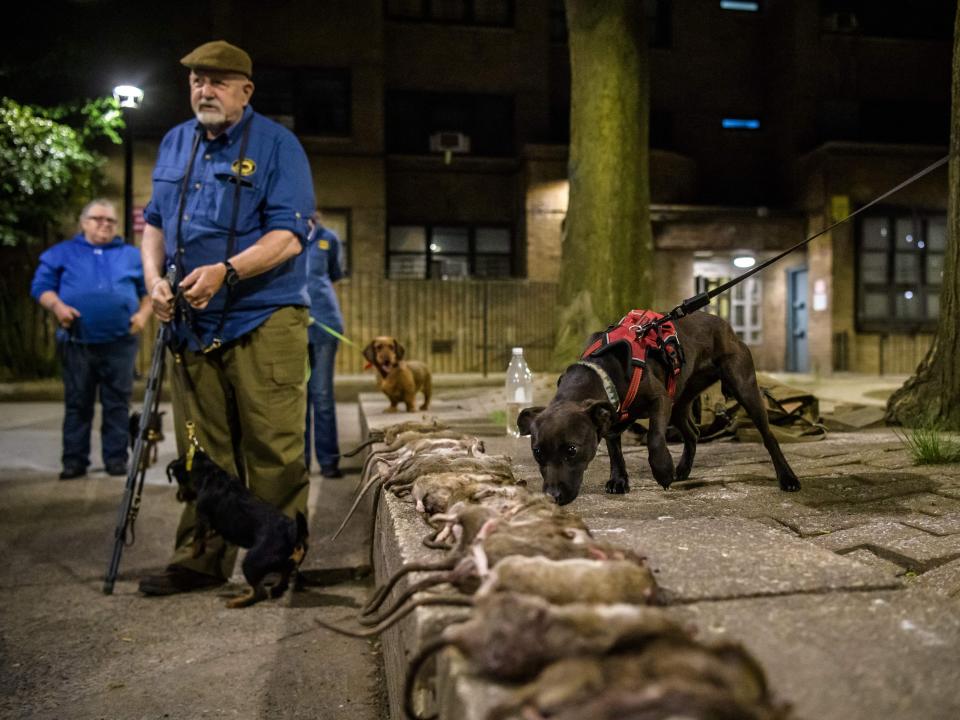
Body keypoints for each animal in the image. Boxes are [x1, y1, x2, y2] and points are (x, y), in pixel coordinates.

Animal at [520, 310, 800, 506]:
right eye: (537, 452)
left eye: (571, 450)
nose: (552, 497)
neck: (603, 370)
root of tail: (725, 325)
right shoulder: (611, 418)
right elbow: (615, 452)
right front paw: (619, 480)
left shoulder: (659, 400)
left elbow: (654, 437)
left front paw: (663, 470)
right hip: (679, 401)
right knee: (693, 433)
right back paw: (683, 469)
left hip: (744, 388)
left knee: (768, 436)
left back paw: (787, 478)